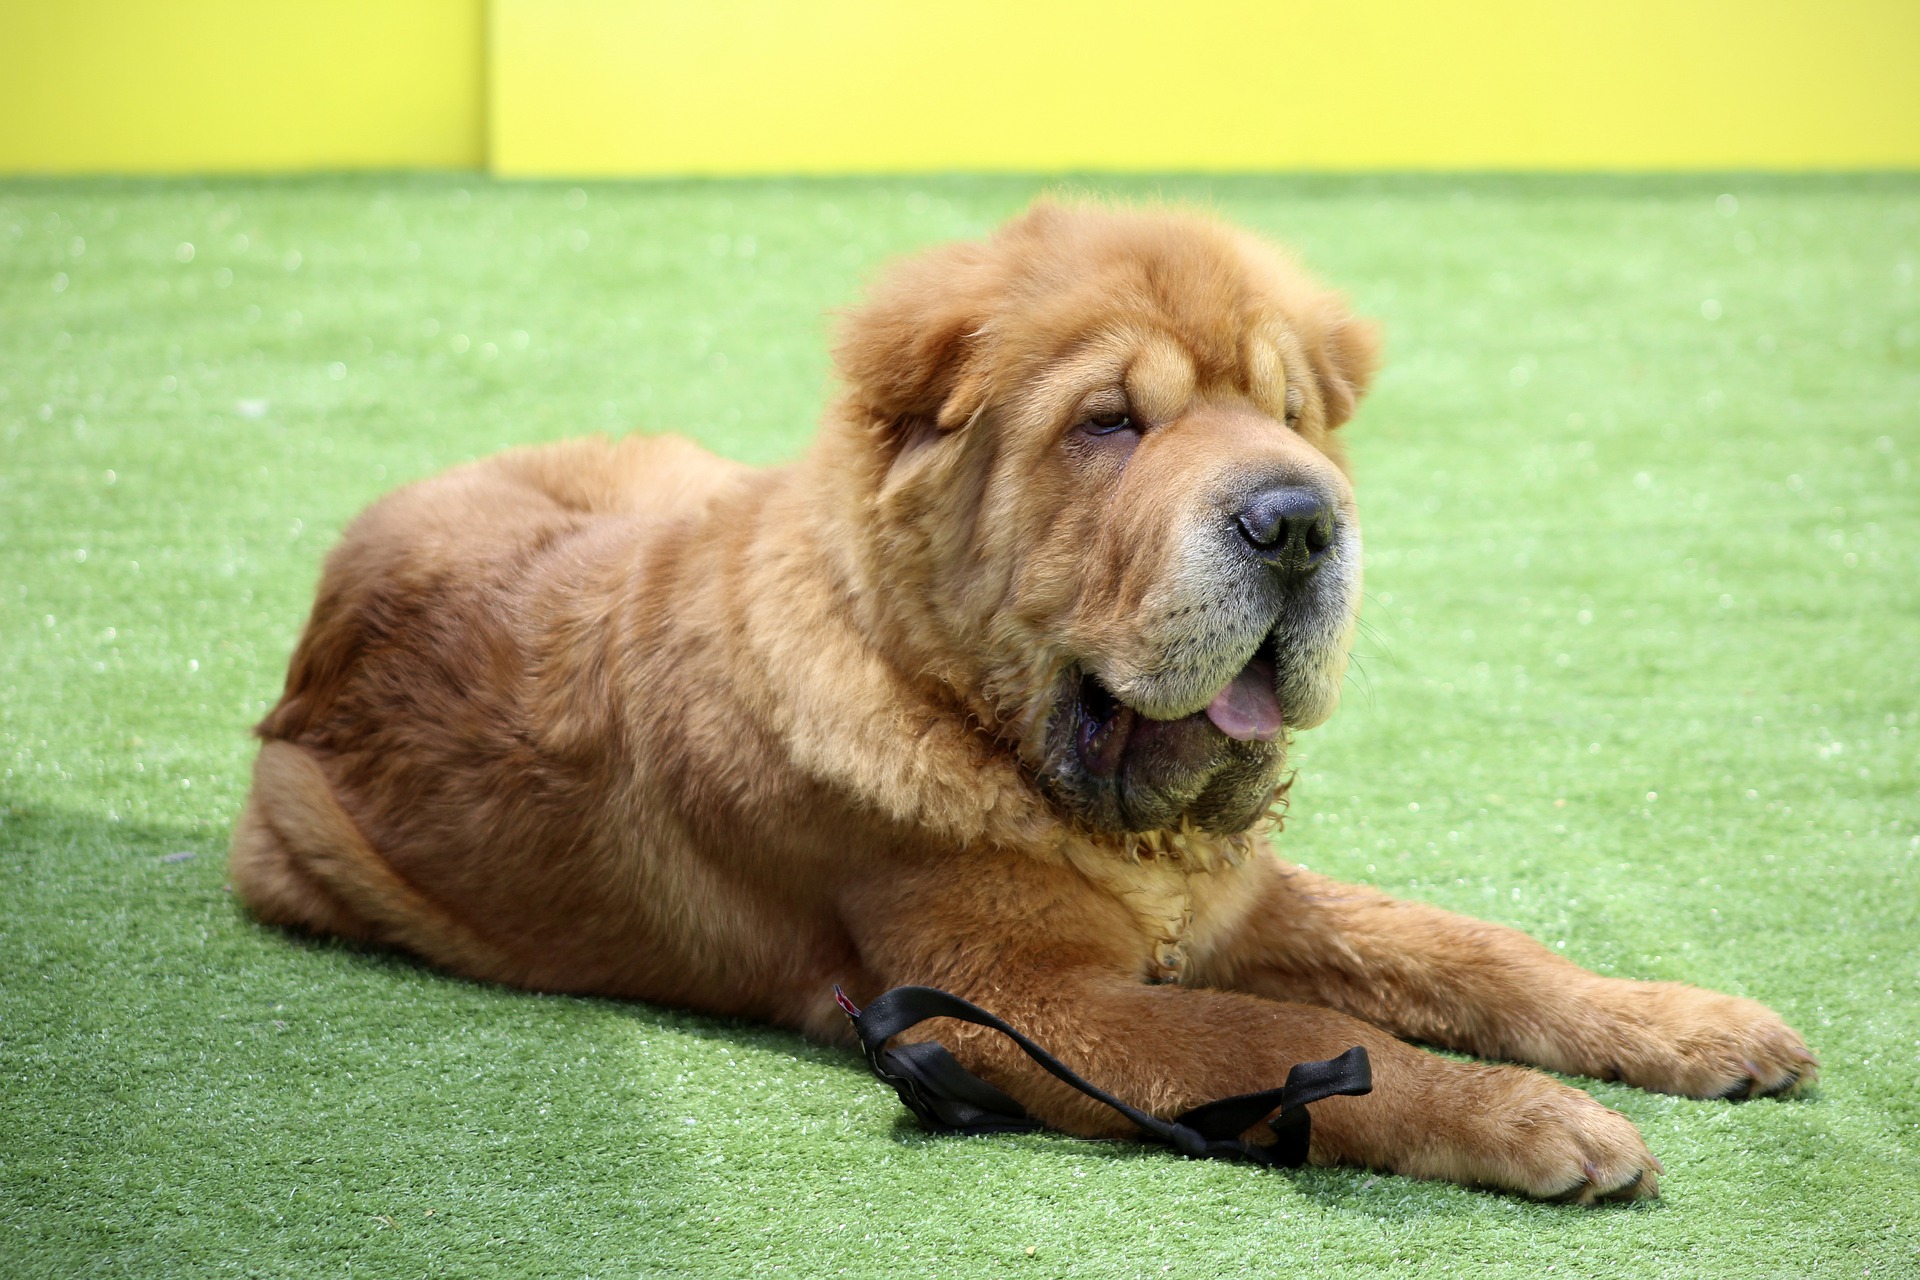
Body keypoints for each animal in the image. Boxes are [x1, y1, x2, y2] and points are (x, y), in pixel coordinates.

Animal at [228, 205, 1812, 1205]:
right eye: (1109, 424)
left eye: (1289, 415)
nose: (1301, 520)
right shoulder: (1012, 1006)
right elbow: (1281, 1044)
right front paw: (1535, 1120)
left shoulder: (1240, 904)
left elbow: (1473, 953)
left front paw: (1690, 1027)